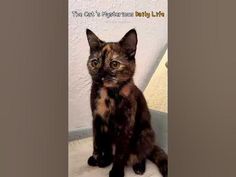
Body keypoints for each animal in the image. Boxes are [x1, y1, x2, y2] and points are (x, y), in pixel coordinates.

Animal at [85, 28, 167, 176]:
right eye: (95, 62)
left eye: (114, 64)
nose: (100, 75)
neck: (108, 95)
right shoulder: (97, 119)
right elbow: (97, 141)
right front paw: (96, 158)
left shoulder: (126, 125)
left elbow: (120, 152)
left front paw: (117, 172)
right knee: (108, 147)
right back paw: (105, 160)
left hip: (145, 133)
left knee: (141, 154)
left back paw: (139, 166)